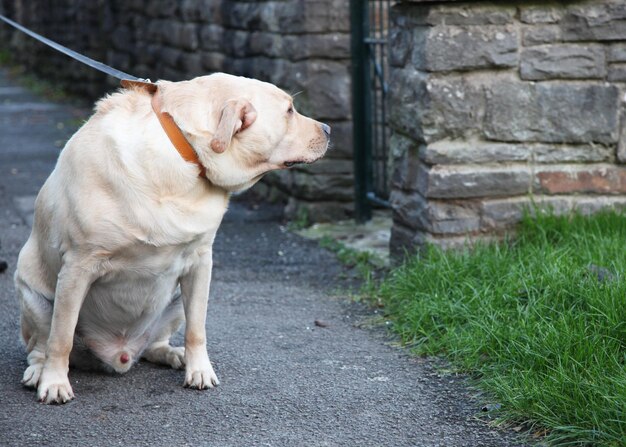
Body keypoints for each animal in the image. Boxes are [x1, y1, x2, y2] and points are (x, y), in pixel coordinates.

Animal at [14, 74, 330, 406]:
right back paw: (38, 372)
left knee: (155, 344)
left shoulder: (201, 263)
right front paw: (54, 382)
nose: (329, 129)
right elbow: (61, 337)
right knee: (41, 345)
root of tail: (118, 356)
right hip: (35, 299)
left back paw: (172, 354)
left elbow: (197, 329)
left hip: (175, 302)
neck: (185, 155)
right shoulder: (78, 265)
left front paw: (199, 369)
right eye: (289, 111)